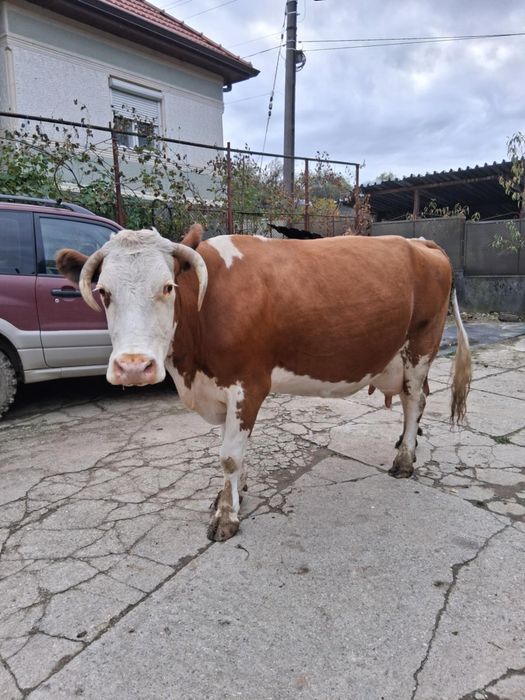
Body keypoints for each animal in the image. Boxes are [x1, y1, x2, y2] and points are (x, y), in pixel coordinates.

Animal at [56, 225, 471, 542]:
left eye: (168, 287)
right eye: (104, 292)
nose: (133, 367)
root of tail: (420, 242)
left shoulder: (248, 384)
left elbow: (229, 455)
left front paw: (227, 516)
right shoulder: (222, 391)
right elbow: (234, 450)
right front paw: (233, 493)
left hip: (421, 346)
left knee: (413, 400)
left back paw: (405, 460)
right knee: (416, 400)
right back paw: (405, 443)